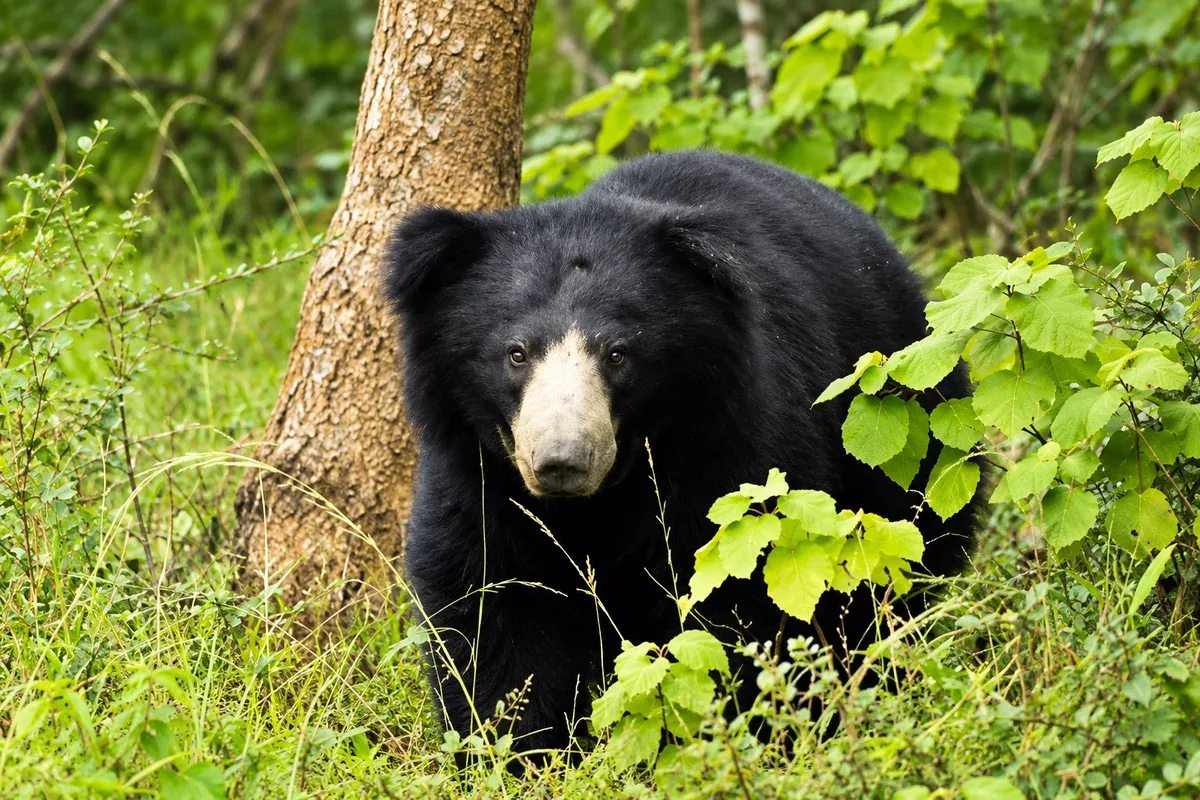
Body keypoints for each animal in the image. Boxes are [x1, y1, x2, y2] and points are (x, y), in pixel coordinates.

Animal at [382, 150, 979, 761]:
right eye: (517, 354)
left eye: (617, 354)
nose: (562, 462)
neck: (600, 500)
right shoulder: (479, 473)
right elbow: (489, 606)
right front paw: (515, 750)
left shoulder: (730, 446)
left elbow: (733, 594)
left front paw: (734, 732)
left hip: (906, 423)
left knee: (896, 574)